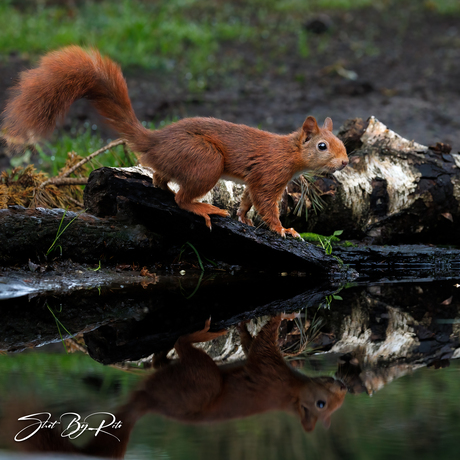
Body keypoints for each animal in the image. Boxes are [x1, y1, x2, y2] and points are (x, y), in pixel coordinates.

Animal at [0, 45, 348, 237]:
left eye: (341, 144)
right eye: (322, 146)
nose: (345, 163)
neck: (289, 152)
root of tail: (154, 141)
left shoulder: (257, 179)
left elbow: (248, 199)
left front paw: (243, 218)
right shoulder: (269, 174)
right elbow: (265, 205)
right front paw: (284, 230)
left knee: (159, 179)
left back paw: (164, 189)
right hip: (206, 161)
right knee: (182, 199)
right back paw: (203, 208)